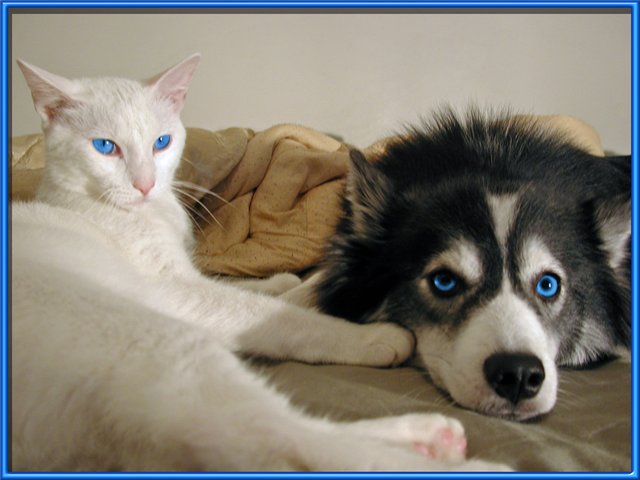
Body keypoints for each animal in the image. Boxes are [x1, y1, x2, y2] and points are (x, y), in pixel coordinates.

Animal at [11, 54, 509, 471]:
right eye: (104, 147)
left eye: (161, 143)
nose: (145, 184)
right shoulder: (174, 289)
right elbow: (276, 316)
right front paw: (367, 335)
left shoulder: (193, 273)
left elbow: (248, 287)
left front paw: (289, 282)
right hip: (160, 340)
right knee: (285, 440)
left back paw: (428, 438)